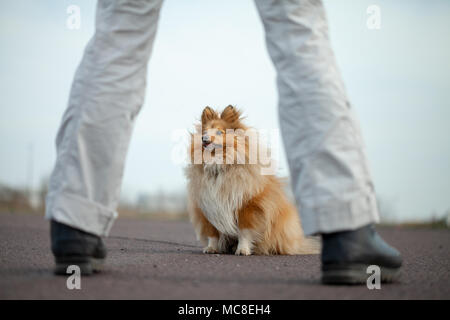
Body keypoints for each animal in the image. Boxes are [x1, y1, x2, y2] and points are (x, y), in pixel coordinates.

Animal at [184, 106, 320, 256]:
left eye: (220, 132)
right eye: (204, 132)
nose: (204, 139)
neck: (219, 166)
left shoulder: (247, 206)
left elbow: (244, 232)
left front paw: (242, 250)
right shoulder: (208, 207)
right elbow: (212, 233)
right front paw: (211, 248)